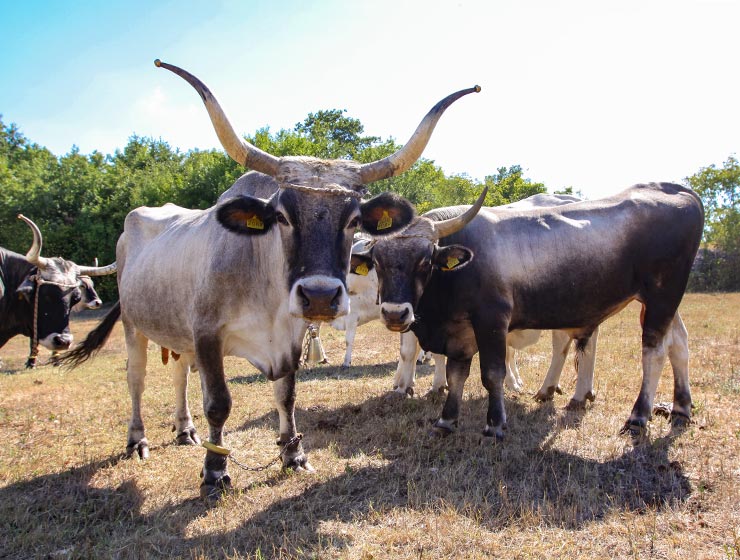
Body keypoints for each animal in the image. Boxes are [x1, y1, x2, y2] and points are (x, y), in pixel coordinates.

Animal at [57, 60, 480, 500]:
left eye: (353, 220)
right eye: (281, 216)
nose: (319, 297)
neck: (265, 294)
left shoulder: (288, 338)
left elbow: (286, 395)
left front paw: (292, 455)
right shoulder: (207, 337)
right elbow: (219, 403)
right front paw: (215, 471)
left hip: (179, 334)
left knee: (179, 375)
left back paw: (185, 430)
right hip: (134, 326)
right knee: (136, 378)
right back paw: (137, 439)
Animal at [366, 182, 703, 441]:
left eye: (424, 261)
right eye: (377, 261)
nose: (395, 314)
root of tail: (675, 188)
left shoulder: (492, 321)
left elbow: (492, 374)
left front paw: (494, 426)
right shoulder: (459, 332)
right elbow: (456, 374)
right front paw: (446, 421)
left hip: (662, 297)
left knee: (654, 352)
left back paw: (638, 417)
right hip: (660, 302)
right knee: (679, 344)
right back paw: (681, 408)